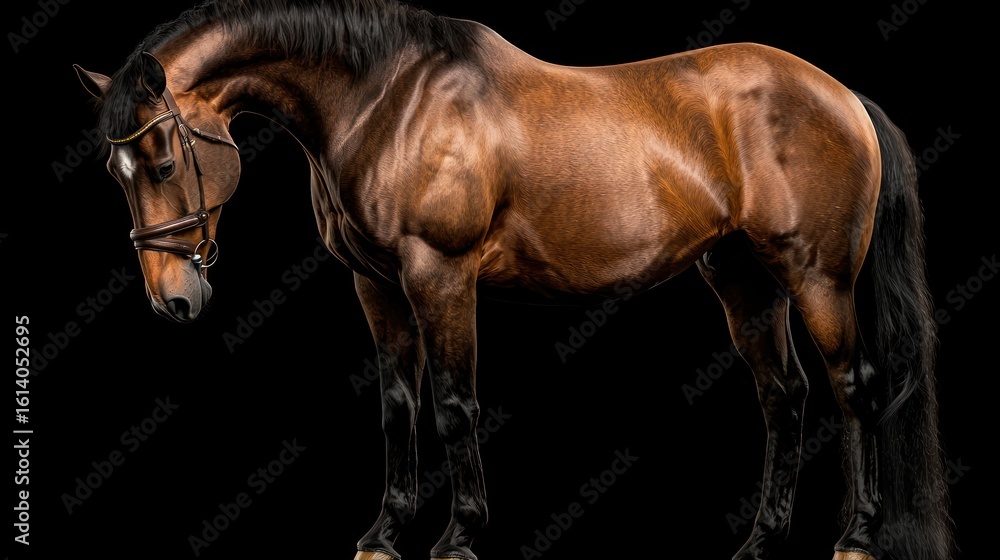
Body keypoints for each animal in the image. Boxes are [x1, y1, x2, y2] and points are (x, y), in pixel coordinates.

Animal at [73, 1, 954, 559]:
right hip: (744, 282)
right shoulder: (376, 288)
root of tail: (842, 95)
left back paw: (856, 537)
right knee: (783, 397)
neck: (387, 99)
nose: (174, 299)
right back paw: (762, 539)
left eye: (161, 158)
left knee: (852, 387)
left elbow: (455, 404)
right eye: (116, 172)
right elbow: (398, 407)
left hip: (817, 278)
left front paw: (459, 534)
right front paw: (384, 536)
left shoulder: (440, 276)